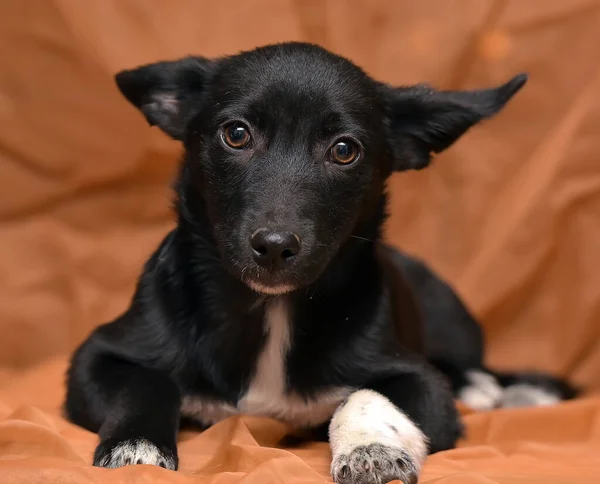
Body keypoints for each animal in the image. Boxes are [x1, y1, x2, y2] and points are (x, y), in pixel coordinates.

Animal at [65, 42, 576, 484]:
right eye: (236, 134)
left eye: (344, 150)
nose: (274, 247)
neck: (270, 311)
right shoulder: (95, 356)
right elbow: (147, 382)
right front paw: (136, 447)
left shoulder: (421, 382)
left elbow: (368, 394)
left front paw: (370, 449)